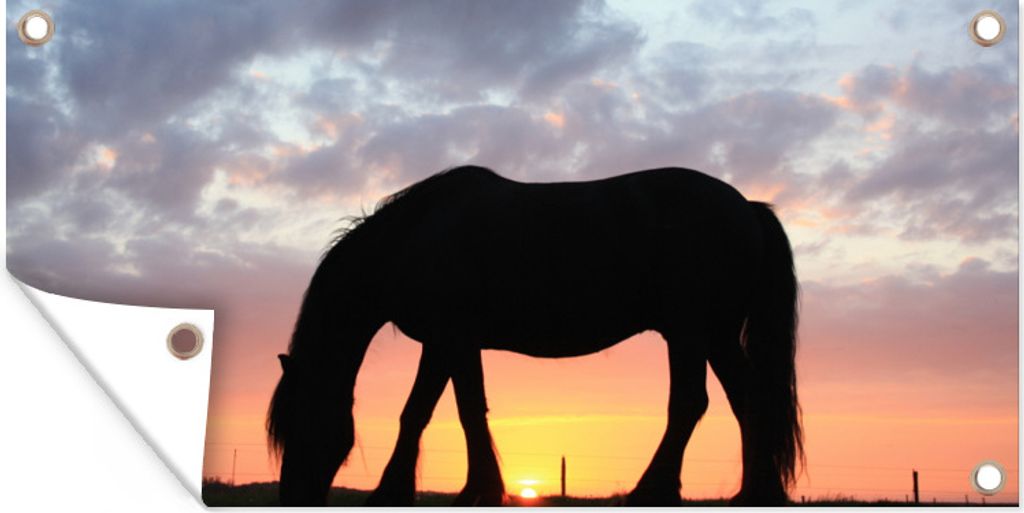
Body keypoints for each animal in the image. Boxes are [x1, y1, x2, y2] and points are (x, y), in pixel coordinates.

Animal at [266, 165, 802, 506]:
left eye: (299, 422)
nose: (292, 498)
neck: (412, 236)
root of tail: (747, 207)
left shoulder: (451, 338)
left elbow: (449, 411)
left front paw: (465, 490)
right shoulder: (447, 343)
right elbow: (436, 411)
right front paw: (427, 490)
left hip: (689, 332)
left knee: (690, 403)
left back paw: (652, 492)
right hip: (715, 335)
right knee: (748, 400)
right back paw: (756, 494)